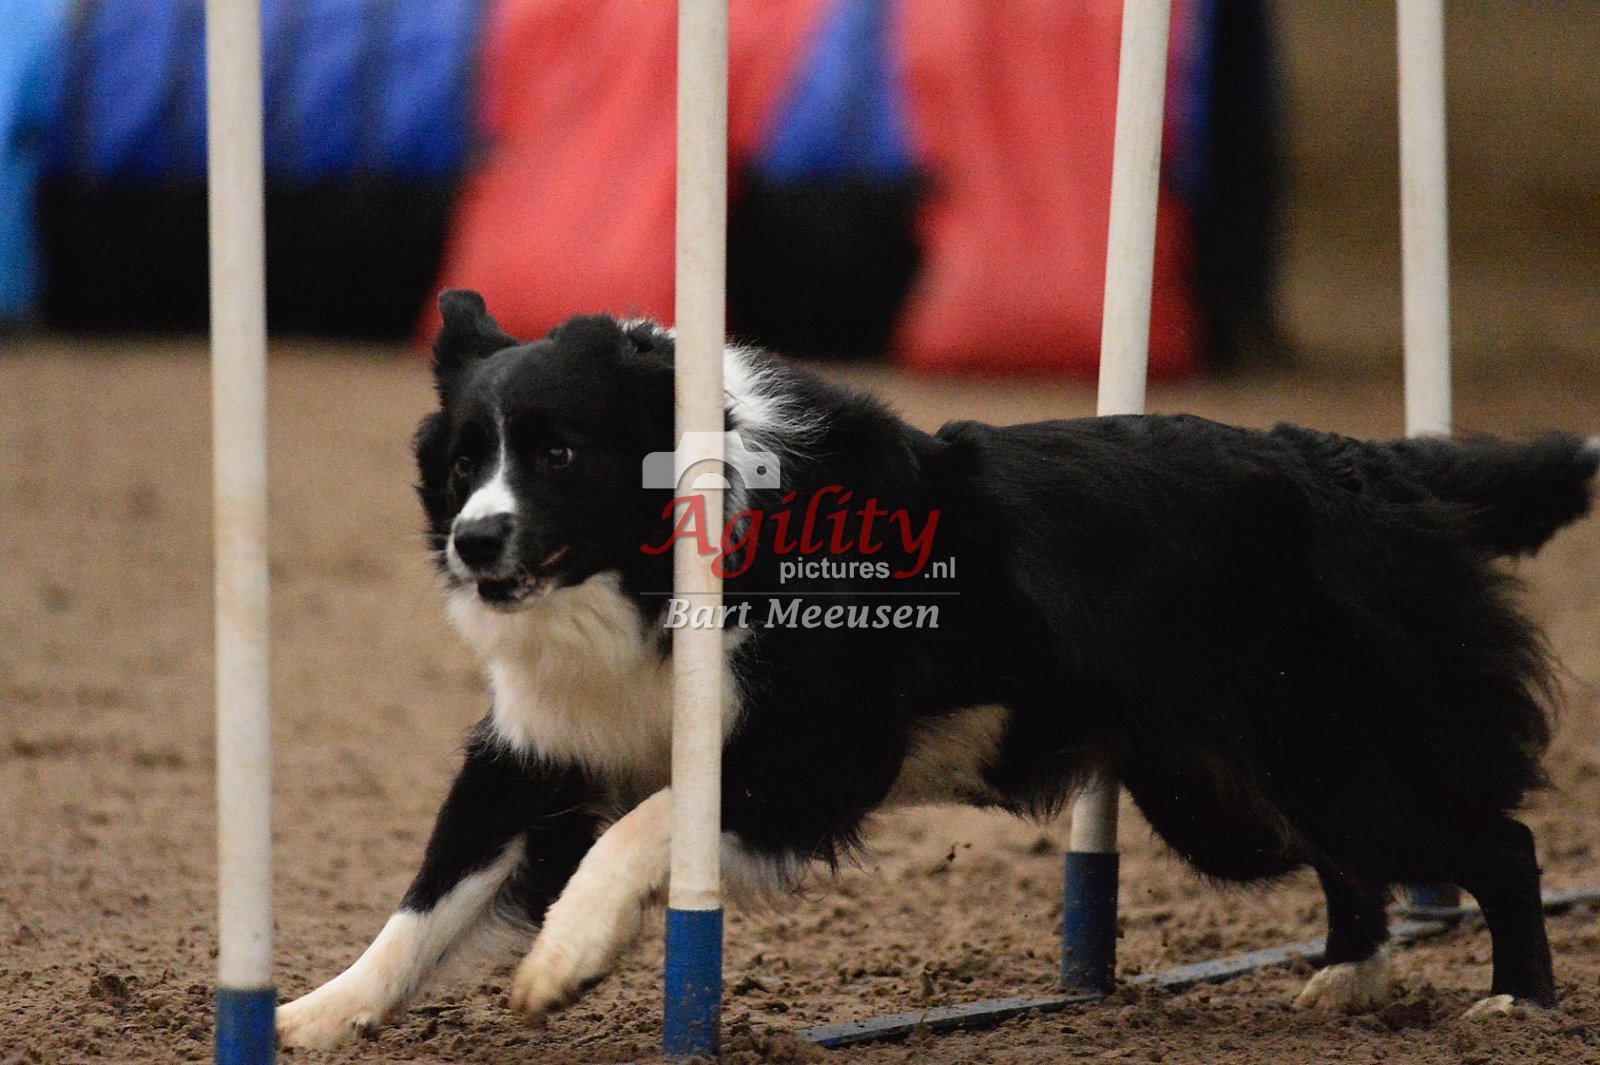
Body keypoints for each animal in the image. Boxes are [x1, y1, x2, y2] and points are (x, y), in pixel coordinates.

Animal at [277, 290, 1598, 1048]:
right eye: (464, 462)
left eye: (555, 454)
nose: (474, 542)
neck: (647, 581)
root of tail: (1362, 463)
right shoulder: (538, 752)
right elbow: (429, 898)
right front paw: (312, 1017)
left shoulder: (816, 752)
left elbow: (652, 821)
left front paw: (564, 959)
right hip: (1228, 786)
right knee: (1347, 858)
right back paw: (1347, 978)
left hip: (1329, 744)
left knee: (1493, 842)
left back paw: (1513, 1002)